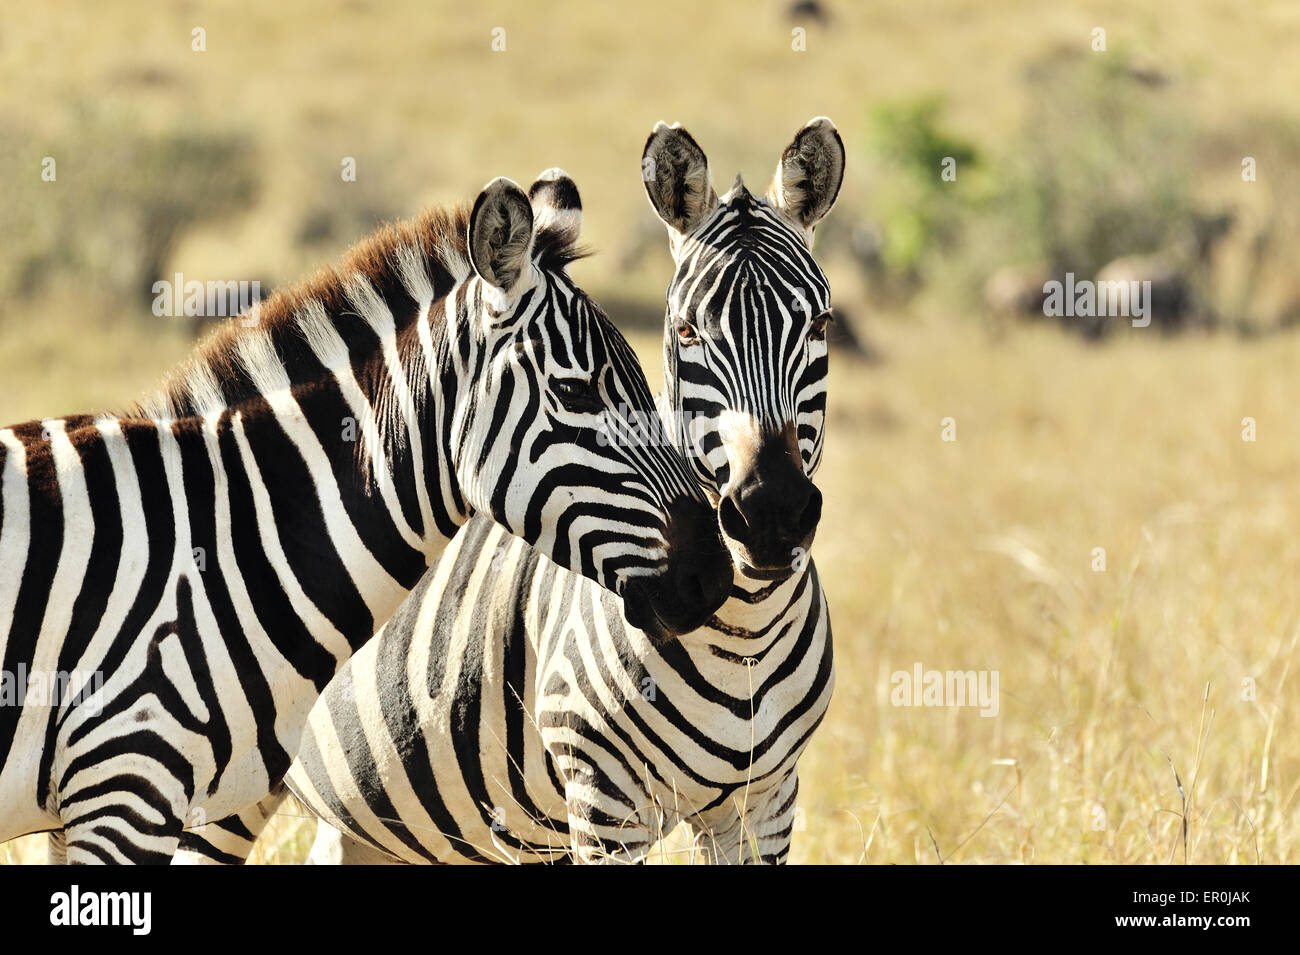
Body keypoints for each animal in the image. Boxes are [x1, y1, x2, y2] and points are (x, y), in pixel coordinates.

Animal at [175, 119, 842, 867]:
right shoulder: (604, 806)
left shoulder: (765, 804)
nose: (771, 515)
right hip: (222, 792)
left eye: (821, 326)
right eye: (686, 330)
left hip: (361, 824)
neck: (744, 635)